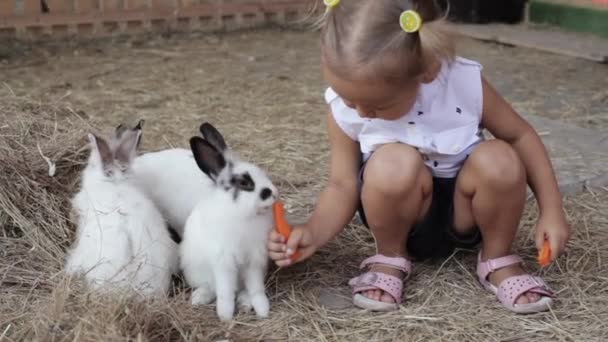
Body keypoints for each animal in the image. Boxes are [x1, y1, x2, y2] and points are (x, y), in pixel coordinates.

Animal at [178, 123, 278, 320]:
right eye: (244, 183)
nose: (273, 193)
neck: (243, 215)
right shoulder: (223, 262)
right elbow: (225, 290)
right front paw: (225, 315)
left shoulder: (254, 261)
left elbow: (256, 288)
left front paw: (263, 310)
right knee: (211, 287)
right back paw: (199, 298)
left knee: (243, 290)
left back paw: (245, 304)